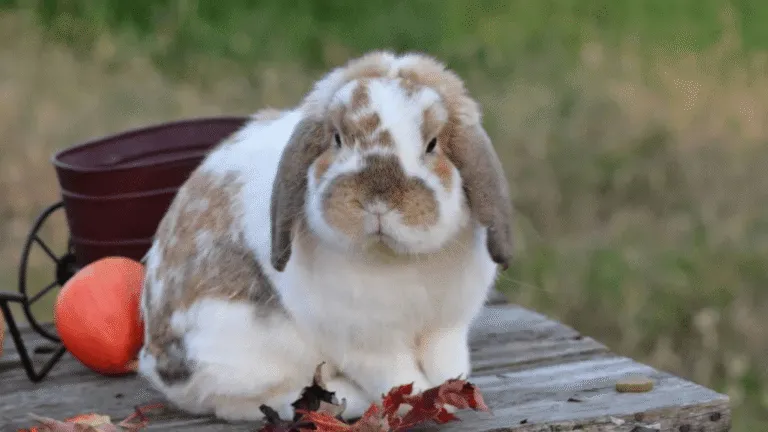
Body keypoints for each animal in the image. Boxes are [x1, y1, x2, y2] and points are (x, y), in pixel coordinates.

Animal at [136, 50, 514, 423]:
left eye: (433, 144)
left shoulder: (447, 329)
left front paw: (448, 397)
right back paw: (341, 400)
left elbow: (446, 365)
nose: (377, 201)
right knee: (240, 404)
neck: (396, 258)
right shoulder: (366, 344)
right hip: (246, 359)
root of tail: (157, 364)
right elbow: (398, 377)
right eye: (337, 139)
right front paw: (419, 401)